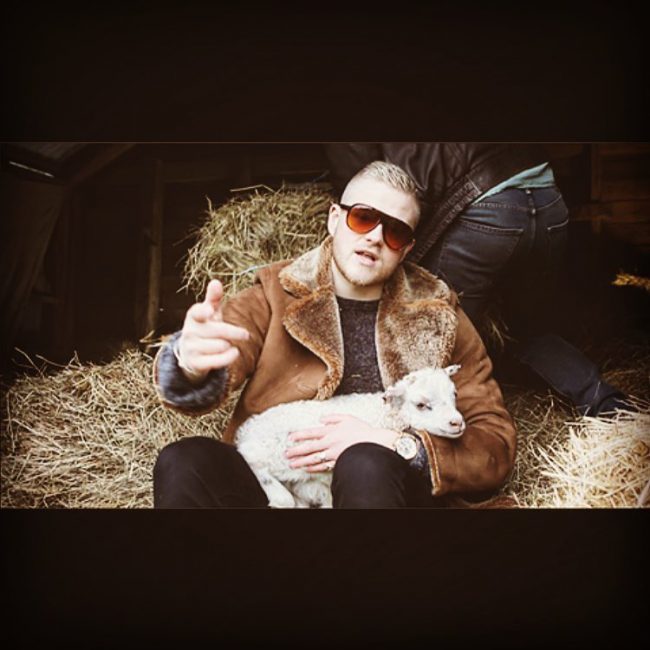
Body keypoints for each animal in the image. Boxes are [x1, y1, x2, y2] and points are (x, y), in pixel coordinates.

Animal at [234, 364, 465, 509]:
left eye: (454, 394)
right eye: (421, 404)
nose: (457, 422)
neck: (384, 416)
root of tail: (245, 431)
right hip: (278, 452)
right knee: (252, 458)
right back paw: (279, 497)